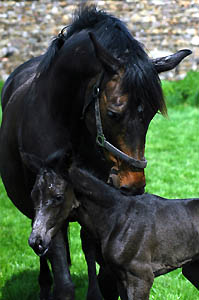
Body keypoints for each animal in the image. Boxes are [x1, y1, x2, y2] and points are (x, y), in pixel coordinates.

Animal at [0, 5, 192, 300]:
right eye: (113, 113)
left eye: (152, 114)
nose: (134, 184)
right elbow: (63, 278)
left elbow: (101, 268)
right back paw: (44, 285)